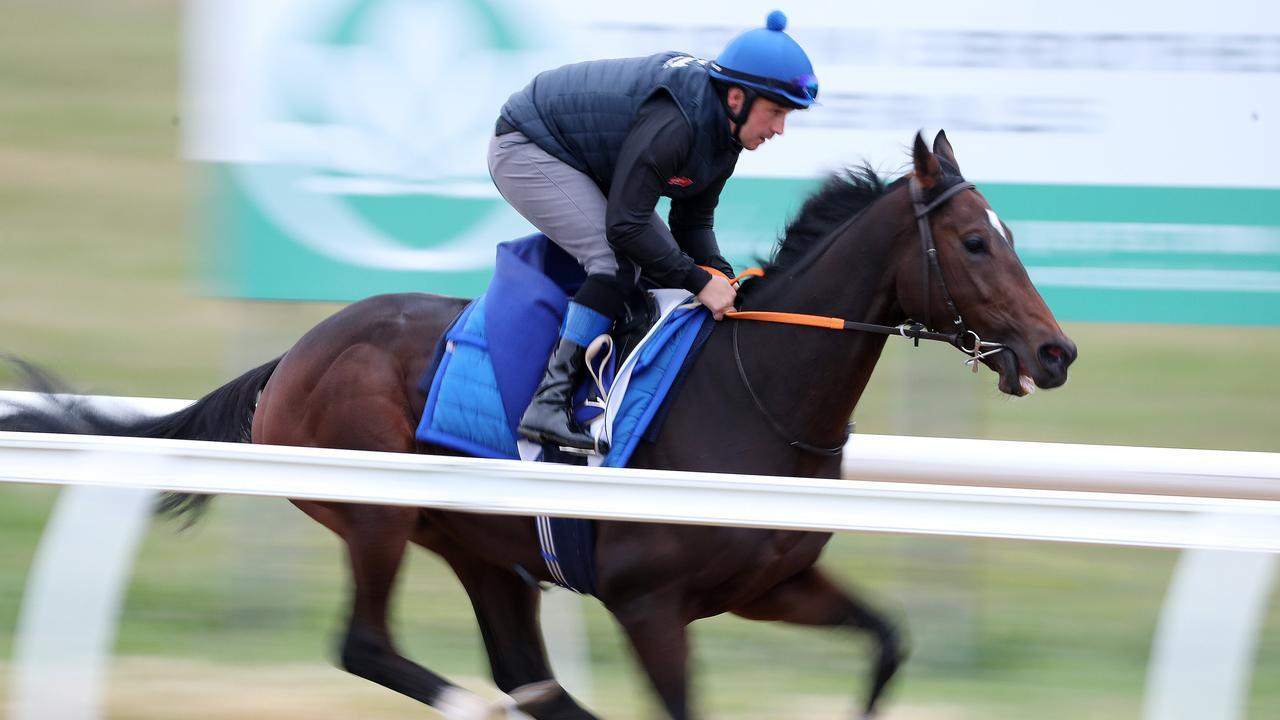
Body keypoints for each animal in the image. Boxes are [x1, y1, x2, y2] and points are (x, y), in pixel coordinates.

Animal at [5, 131, 1075, 712]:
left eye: (1011, 234)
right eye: (975, 242)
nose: (1057, 351)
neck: (753, 392)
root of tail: (298, 354)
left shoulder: (776, 584)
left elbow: (889, 640)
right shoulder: (650, 605)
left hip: (486, 549)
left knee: (526, 673)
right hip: (377, 514)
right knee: (370, 648)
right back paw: (468, 706)